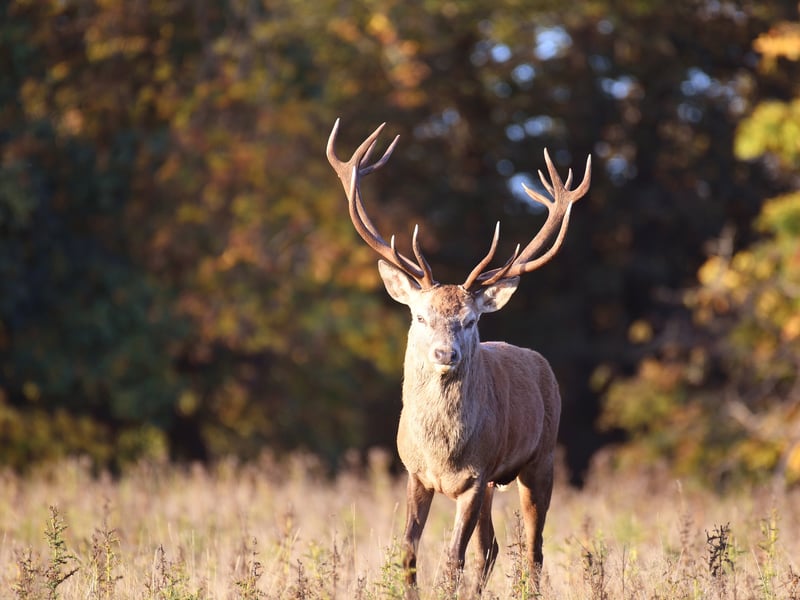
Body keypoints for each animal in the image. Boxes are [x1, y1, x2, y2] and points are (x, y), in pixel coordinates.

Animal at [326, 119, 591, 595]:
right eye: (419, 315)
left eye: (469, 320)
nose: (444, 353)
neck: (442, 453)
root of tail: (540, 362)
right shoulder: (414, 472)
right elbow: (409, 553)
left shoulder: (475, 476)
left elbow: (452, 560)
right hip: (495, 483)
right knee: (493, 548)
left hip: (540, 459)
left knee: (534, 549)